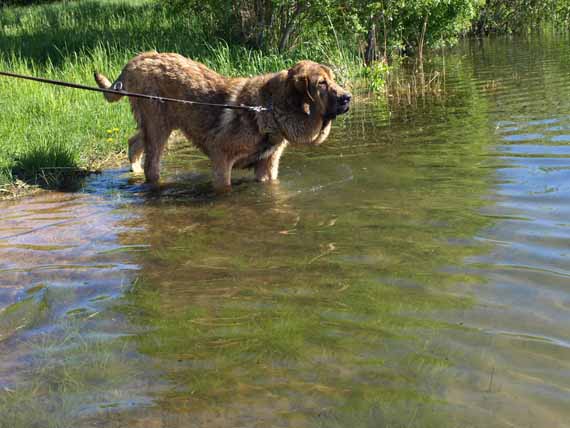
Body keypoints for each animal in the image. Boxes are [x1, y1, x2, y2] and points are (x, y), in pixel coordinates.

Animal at [94, 51, 350, 189]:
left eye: (333, 80)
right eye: (321, 83)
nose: (348, 97)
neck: (270, 108)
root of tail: (144, 57)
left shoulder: (267, 168)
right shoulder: (221, 158)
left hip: (161, 125)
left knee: (134, 142)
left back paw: (134, 170)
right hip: (158, 127)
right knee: (151, 163)